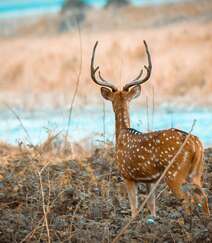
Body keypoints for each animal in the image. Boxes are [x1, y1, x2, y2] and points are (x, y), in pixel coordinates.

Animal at [90, 40, 210, 218]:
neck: (122, 135)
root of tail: (196, 144)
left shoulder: (127, 175)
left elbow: (134, 208)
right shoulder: (151, 180)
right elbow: (152, 207)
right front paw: (153, 219)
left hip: (174, 173)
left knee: (187, 198)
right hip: (196, 172)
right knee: (203, 196)